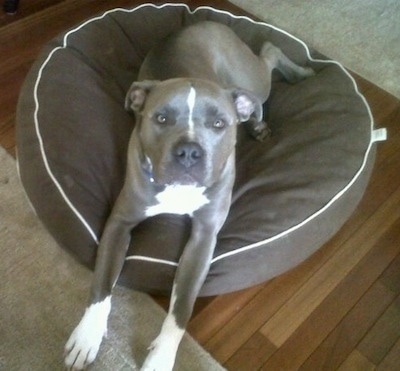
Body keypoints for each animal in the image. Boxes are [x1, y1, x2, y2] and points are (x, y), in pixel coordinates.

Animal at [64, 21, 314, 371]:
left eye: (219, 123)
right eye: (161, 118)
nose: (189, 152)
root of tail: (201, 23)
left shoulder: (203, 237)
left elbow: (181, 310)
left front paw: (161, 357)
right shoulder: (119, 223)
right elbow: (101, 284)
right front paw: (87, 335)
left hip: (250, 77)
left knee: (269, 54)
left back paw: (297, 76)